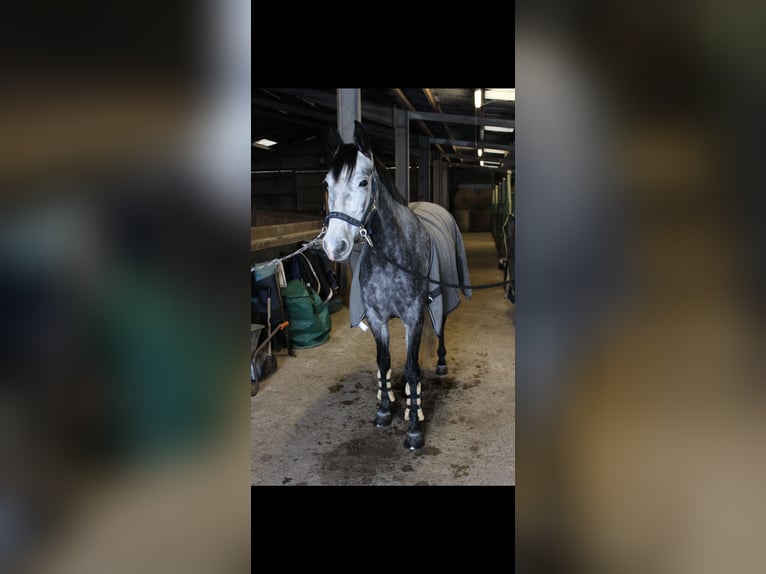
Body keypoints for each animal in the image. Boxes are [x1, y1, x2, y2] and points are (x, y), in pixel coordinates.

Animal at [321, 121, 472, 450]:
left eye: (364, 182)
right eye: (326, 184)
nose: (334, 246)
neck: (391, 257)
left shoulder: (413, 317)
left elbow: (414, 369)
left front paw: (414, 428)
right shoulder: (378, 319)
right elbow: (384, 361)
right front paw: (384, 410)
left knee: (440, 327)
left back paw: (441, 363)